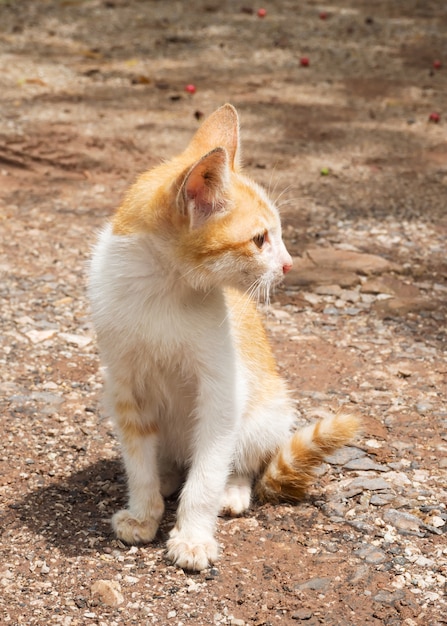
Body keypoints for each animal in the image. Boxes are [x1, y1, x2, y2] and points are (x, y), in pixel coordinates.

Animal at [87, 103, 360, 572]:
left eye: (278, 234)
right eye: (259, 239)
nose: (288, 265)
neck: (163, 291)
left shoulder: (222, 390)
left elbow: (209, 470)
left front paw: (193, 536)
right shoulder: (124, 386)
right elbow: (138, 461)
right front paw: (143, 514)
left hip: (265, 410)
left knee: (241, 460)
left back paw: (231, 490)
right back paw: (166, 477)